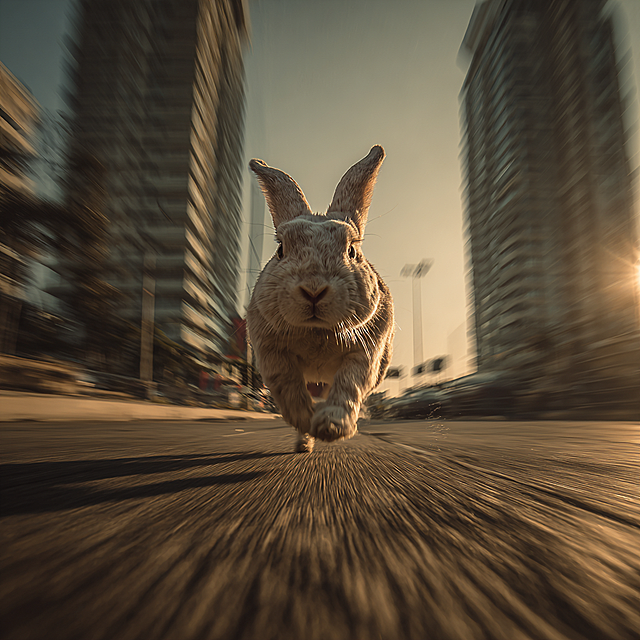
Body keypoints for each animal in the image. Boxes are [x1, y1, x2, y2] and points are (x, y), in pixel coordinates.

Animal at [247, 145, 395, 453]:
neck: (317, 331)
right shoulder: (272, 354)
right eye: (280, 249)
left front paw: (331, 427)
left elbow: (350, 384)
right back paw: (303, 443)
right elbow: (288, 387)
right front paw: (308, 423)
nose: (313, 290)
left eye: (351, 250)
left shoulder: (365, 353)